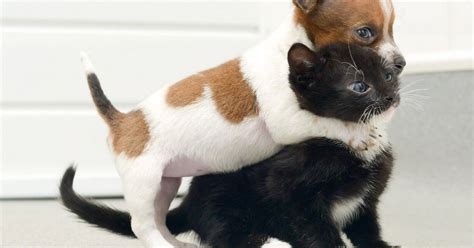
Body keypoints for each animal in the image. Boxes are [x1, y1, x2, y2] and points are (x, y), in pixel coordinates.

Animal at [73, 0, 404, 247]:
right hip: (145, 182)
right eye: (365, 32)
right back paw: (163, 244)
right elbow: (327, 122)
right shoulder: (287, 121)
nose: (400, 64)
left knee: (160, 219)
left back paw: (177, 242)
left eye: (393, 29)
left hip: (167, 184)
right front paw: (359, 134)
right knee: (141, 226)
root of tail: (121, 120)